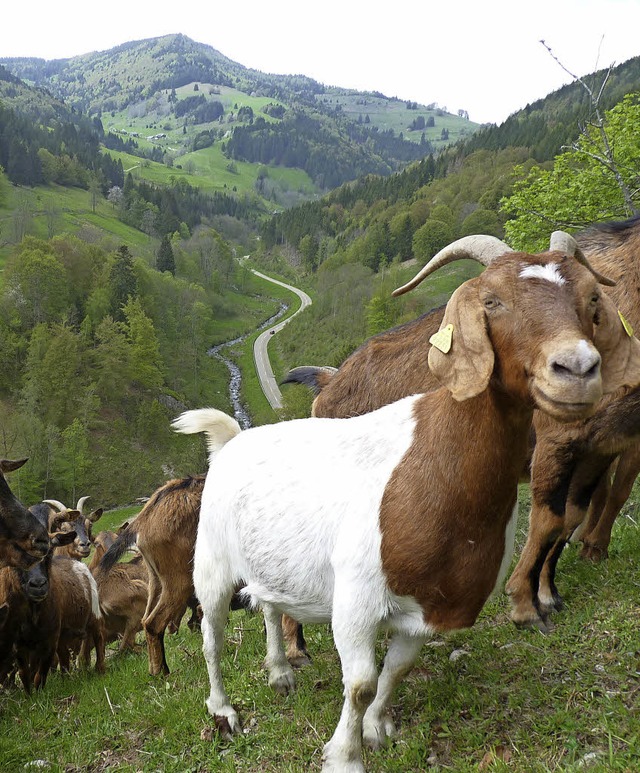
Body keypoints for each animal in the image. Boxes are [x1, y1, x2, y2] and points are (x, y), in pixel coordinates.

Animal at [172, 244, 636, 772]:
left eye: (592, 298)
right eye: (492, 301)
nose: (577, 369)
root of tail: (232, 440)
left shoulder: (427, 608)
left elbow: (396, 670)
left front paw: (377, 729)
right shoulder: (355, 602)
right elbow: (360, 683)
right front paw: (345, 755)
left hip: (272, 563)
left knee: (269, 606)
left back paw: (280, 674)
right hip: (211, 564)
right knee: (211, 636)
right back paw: (223, 711)